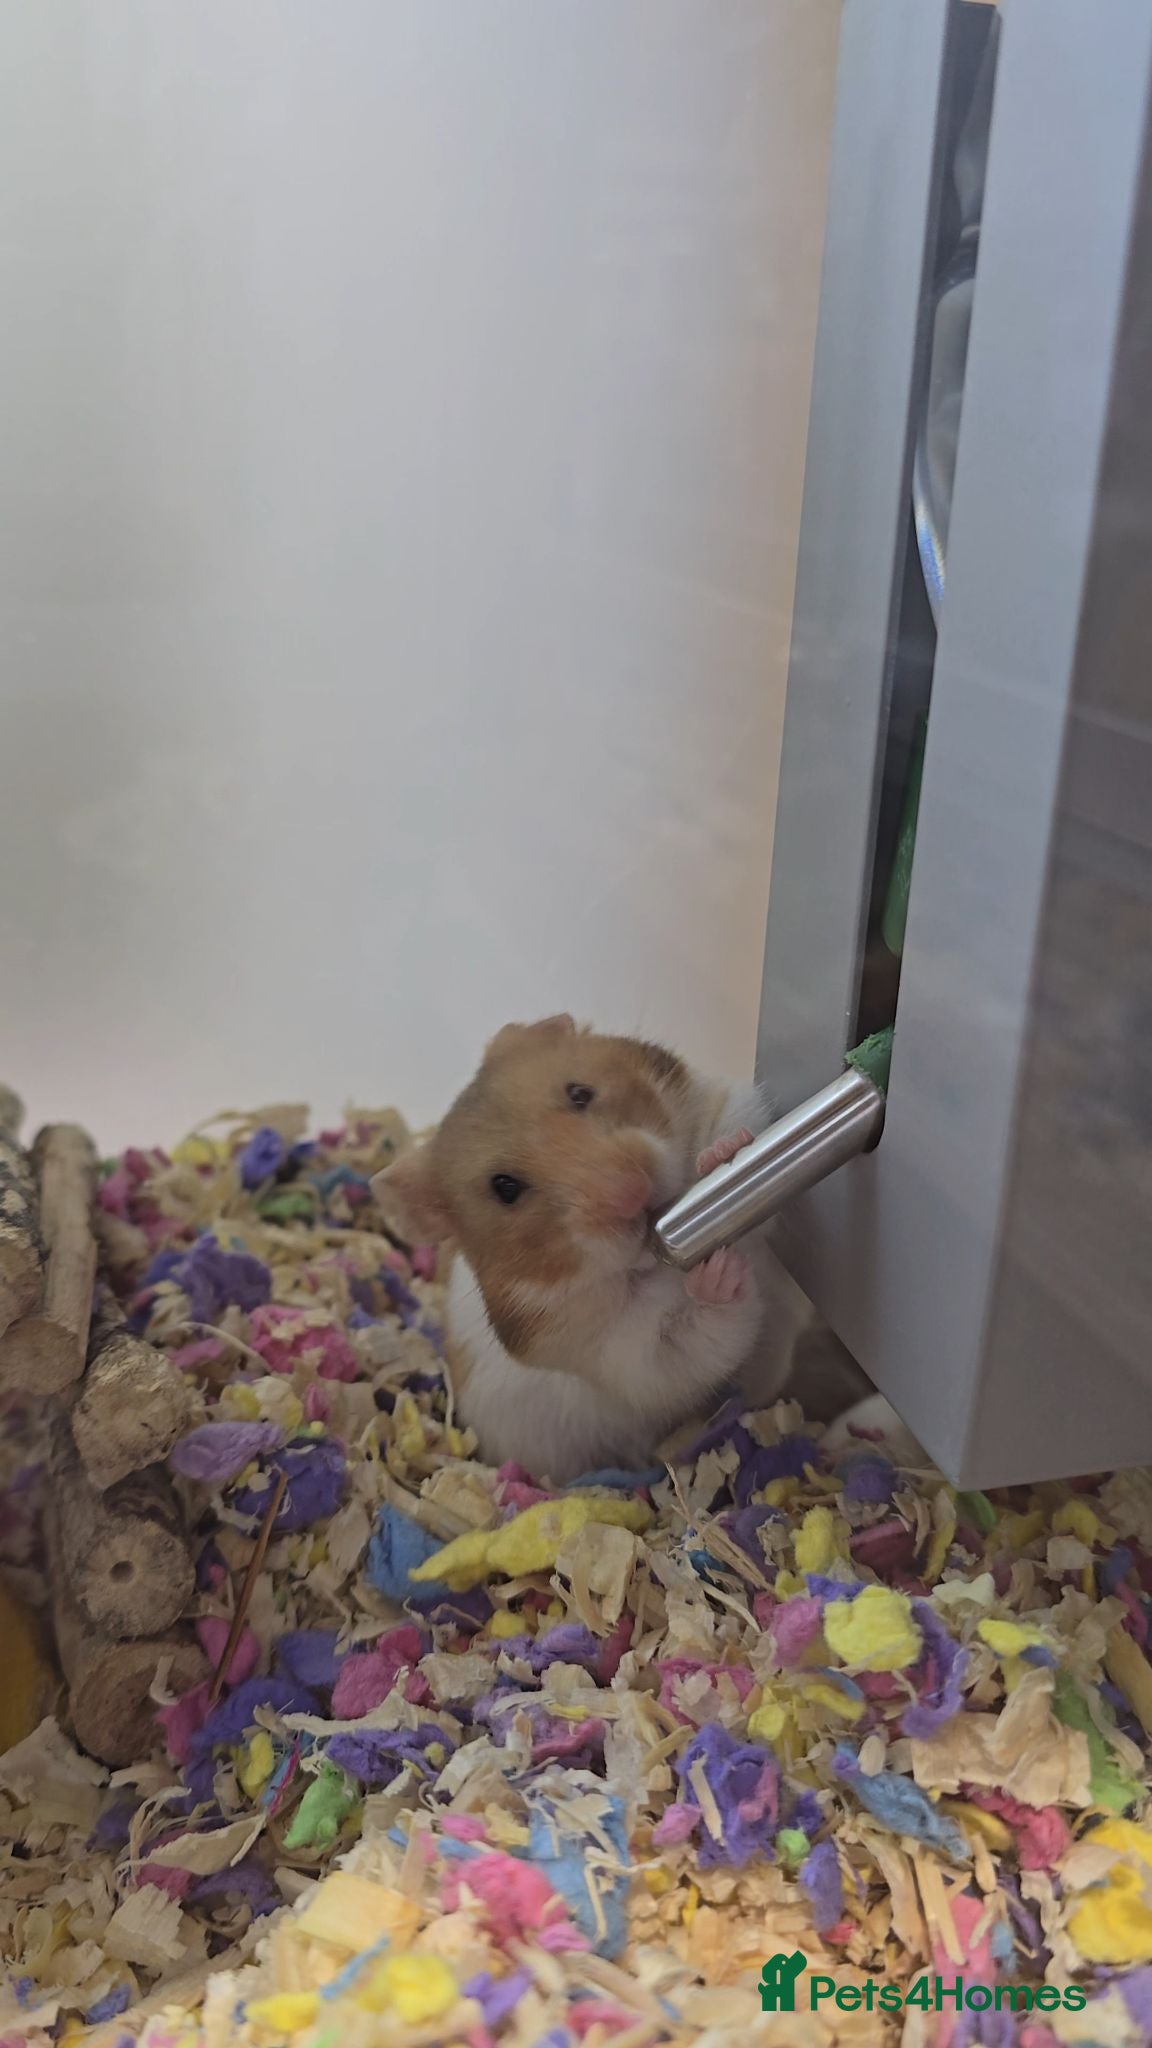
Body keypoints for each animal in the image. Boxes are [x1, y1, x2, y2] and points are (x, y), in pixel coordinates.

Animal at [373, 1012, 843, 1483]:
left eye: (580, 1093)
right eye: (504, 1188)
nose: (632, 1193)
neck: (646, 1262)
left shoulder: (725, 1097)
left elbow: (737, 1122)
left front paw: (721, 1156)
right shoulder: (615, 1353)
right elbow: (689, 1343)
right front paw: (719, 1273)